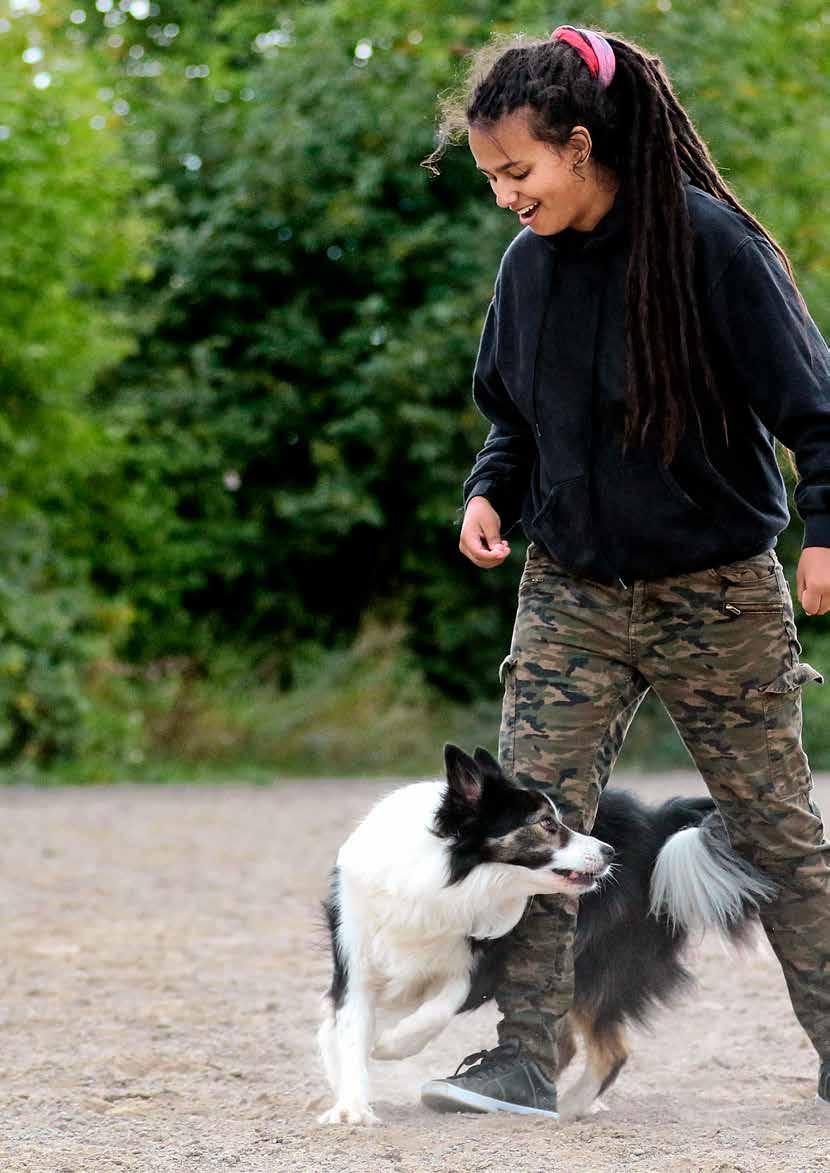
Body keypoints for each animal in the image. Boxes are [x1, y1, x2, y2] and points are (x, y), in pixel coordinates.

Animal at [316, 746, 773, 1121]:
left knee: (610, 1051)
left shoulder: (479, 960)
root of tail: (658, 823)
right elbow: (350, 1028)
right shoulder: (355, 961)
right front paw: (351, 1105)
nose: (608, 852)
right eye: (547, 824)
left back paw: (567, 1107)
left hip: (593, 961)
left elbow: (437, 1008)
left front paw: (391, 1045)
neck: (442, 876)